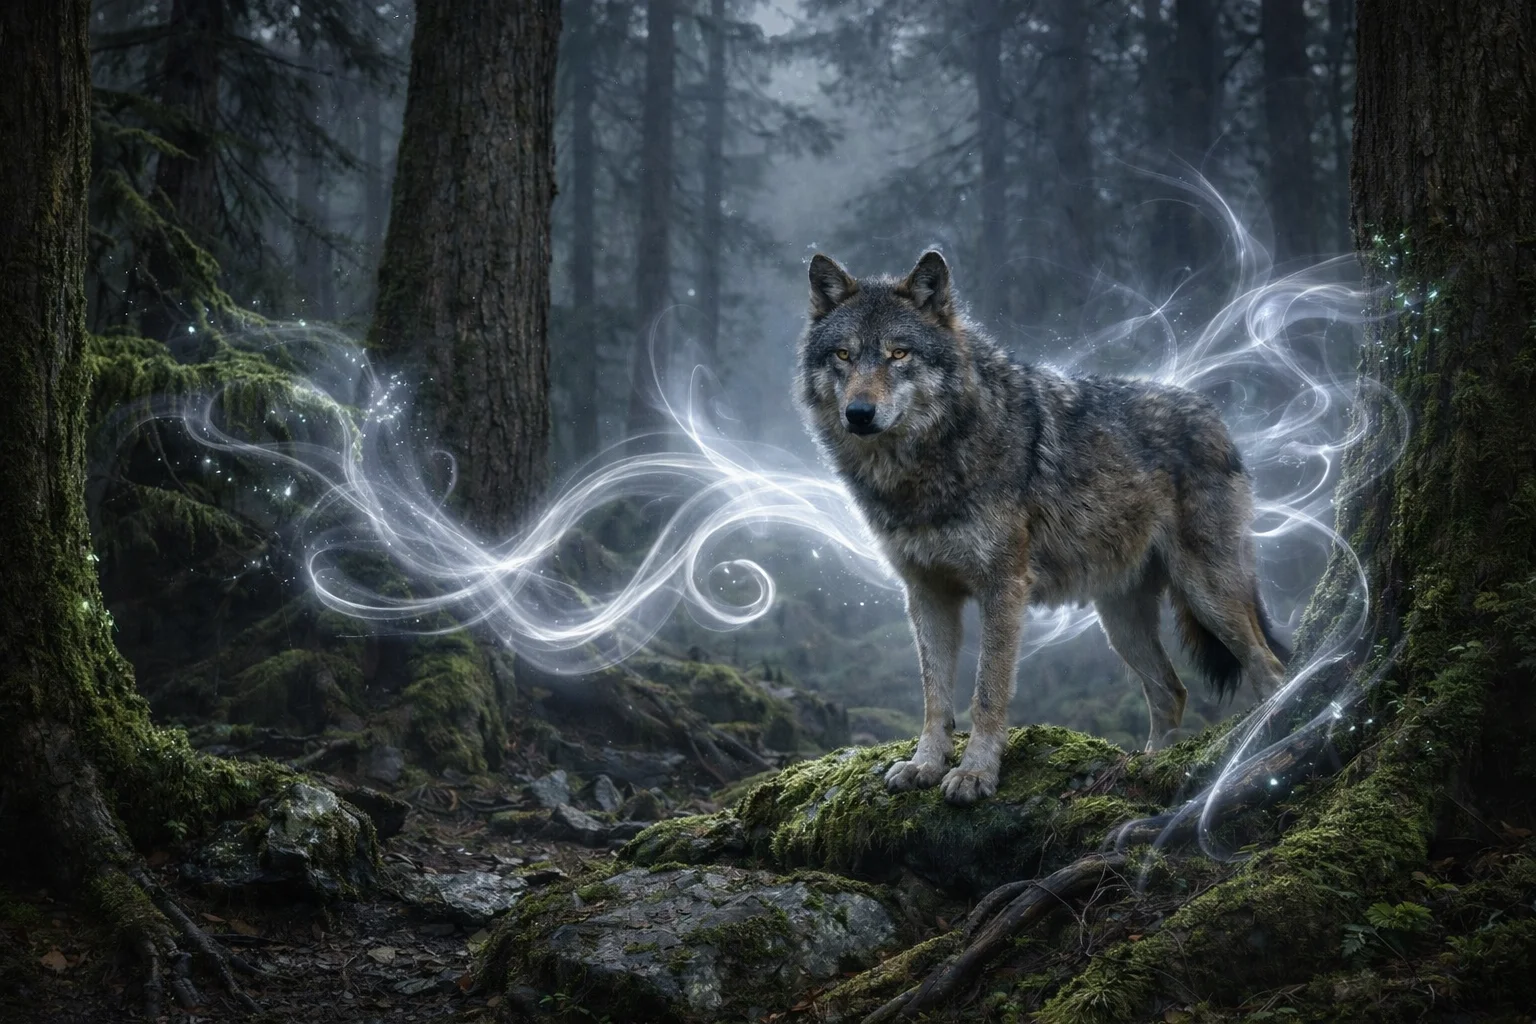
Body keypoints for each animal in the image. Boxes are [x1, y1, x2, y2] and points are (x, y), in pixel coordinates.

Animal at [795, 250, 1290, 805]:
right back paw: (1149, 766)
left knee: (1270, 669)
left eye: (898, 354)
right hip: (1120, 621)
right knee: (1172, 691)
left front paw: (975, 774)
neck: (921, 469)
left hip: (1208, 594)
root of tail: (1216, 416)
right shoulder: (926, 593)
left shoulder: (1003, 588)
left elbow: (987, 694)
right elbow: (934, 697)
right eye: (843, 354)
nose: (859, 413)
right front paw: (924, 765)